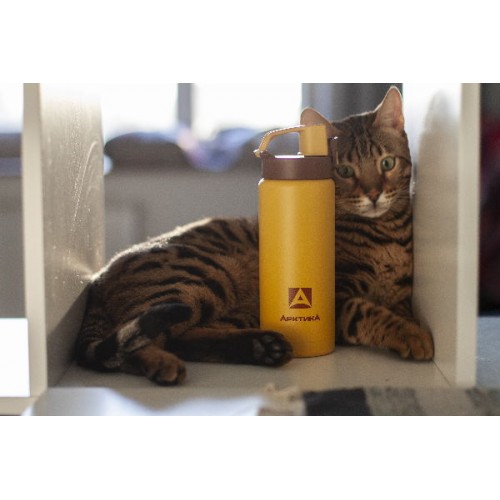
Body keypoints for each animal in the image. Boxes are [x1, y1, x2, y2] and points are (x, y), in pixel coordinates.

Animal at [75, 86, 434, 385]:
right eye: (344, 171)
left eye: (387, 163)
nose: (374, 195)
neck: (385, 235)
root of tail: (98, 279)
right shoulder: (338, 297)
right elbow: (368, 311)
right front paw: (411, 335)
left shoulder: (400, 295)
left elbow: (394, 309)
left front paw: (410, 327)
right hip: (202, 275)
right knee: (137, 341)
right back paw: (163, 362)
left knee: (181, 336)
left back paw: (263, 346)